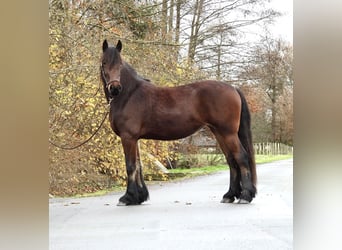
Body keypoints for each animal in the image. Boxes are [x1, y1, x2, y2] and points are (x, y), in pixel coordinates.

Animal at [100, 39, 255, 205]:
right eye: (104, 62)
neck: (129, 95)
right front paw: (139, 197)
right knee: (231, 160)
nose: (115, 88)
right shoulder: (134, 139)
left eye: (120, 64)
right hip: (219, 133)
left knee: (241, 157)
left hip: (228, 133)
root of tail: (233, 88)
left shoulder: (128, 137)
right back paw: (230, 195)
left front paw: (127, 197)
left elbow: (130, 166)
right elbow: (138, 166)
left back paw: (246, 196)